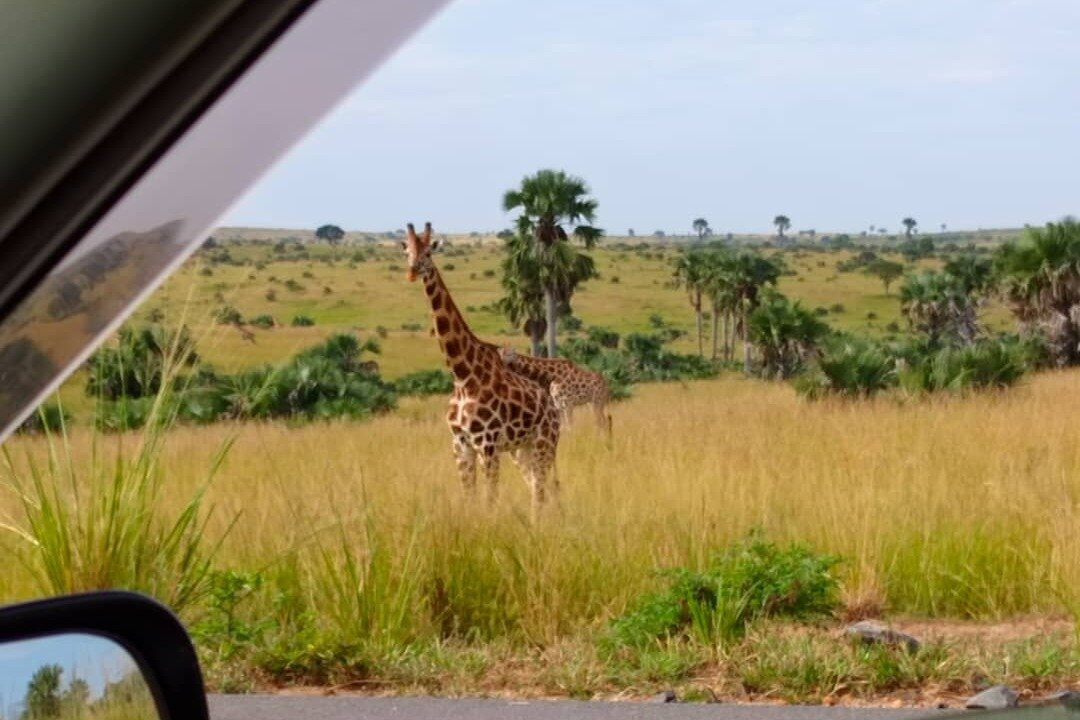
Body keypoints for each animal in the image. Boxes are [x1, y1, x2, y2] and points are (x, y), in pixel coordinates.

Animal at [401, 222, 561, 515]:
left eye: (429, 252)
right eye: (407, 251)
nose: (412, 272)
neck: (462, 375)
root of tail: (553, 408)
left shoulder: (487, 443)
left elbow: (490, 499)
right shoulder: (460, 444)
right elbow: (470, 498)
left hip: (544, 442)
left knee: (542, 489)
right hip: (521, 449)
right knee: (538, 487)